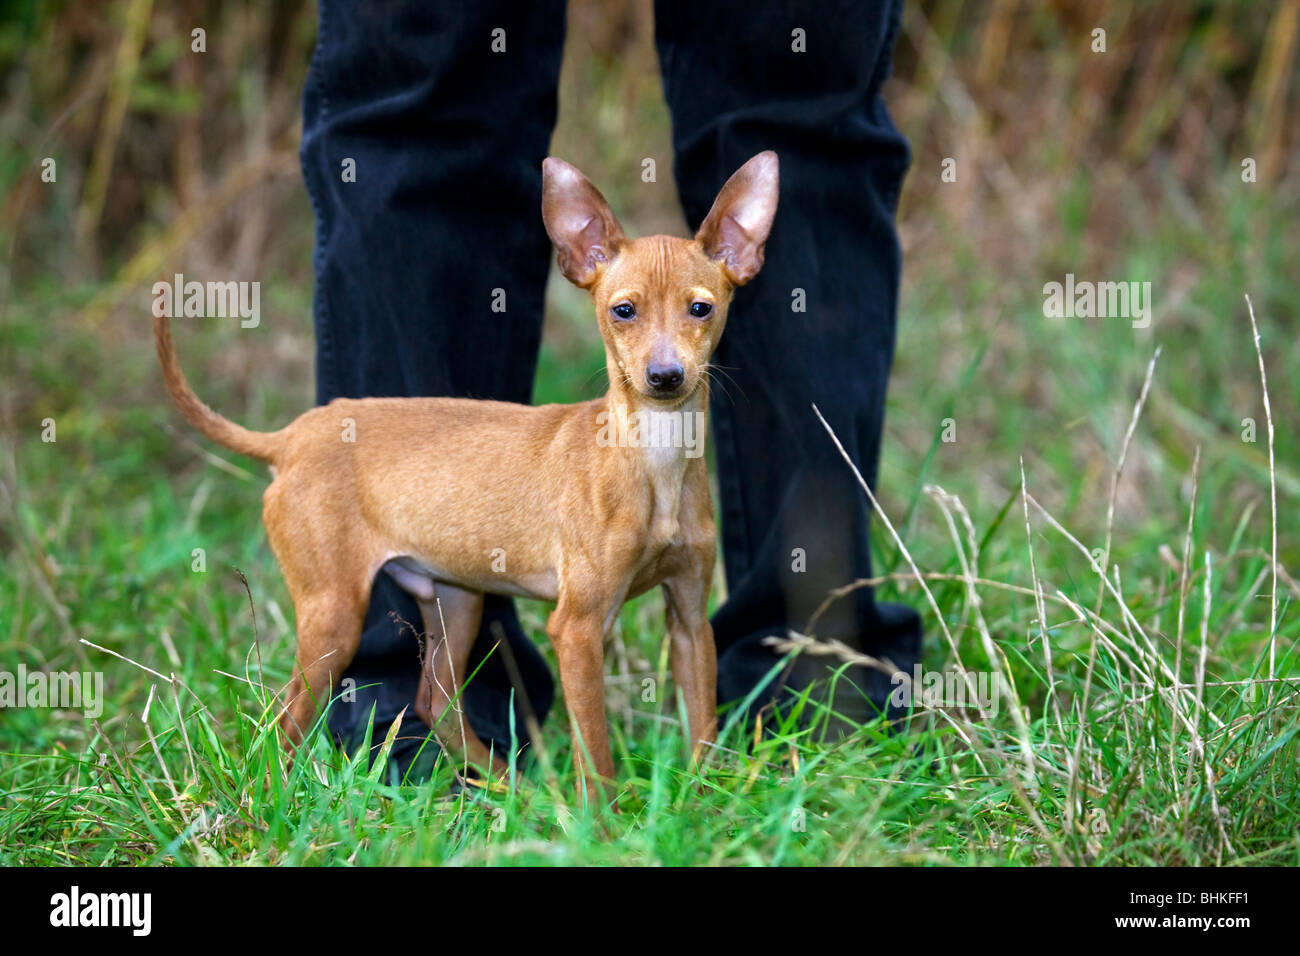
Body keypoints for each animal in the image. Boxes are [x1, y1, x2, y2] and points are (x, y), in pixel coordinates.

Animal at [154, 151, 780, 801]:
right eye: (623, 311)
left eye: (701, 308)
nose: (664, 376)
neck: (654, 458)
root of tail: (292, 437)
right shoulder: (577, 627)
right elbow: (596, 750)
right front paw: (602, 816)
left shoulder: (689, 619)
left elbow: (702, 723)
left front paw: (709, 798)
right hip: (334, 617)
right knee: (281, 721)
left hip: (454, 600)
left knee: (437, 703)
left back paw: (514, 791)